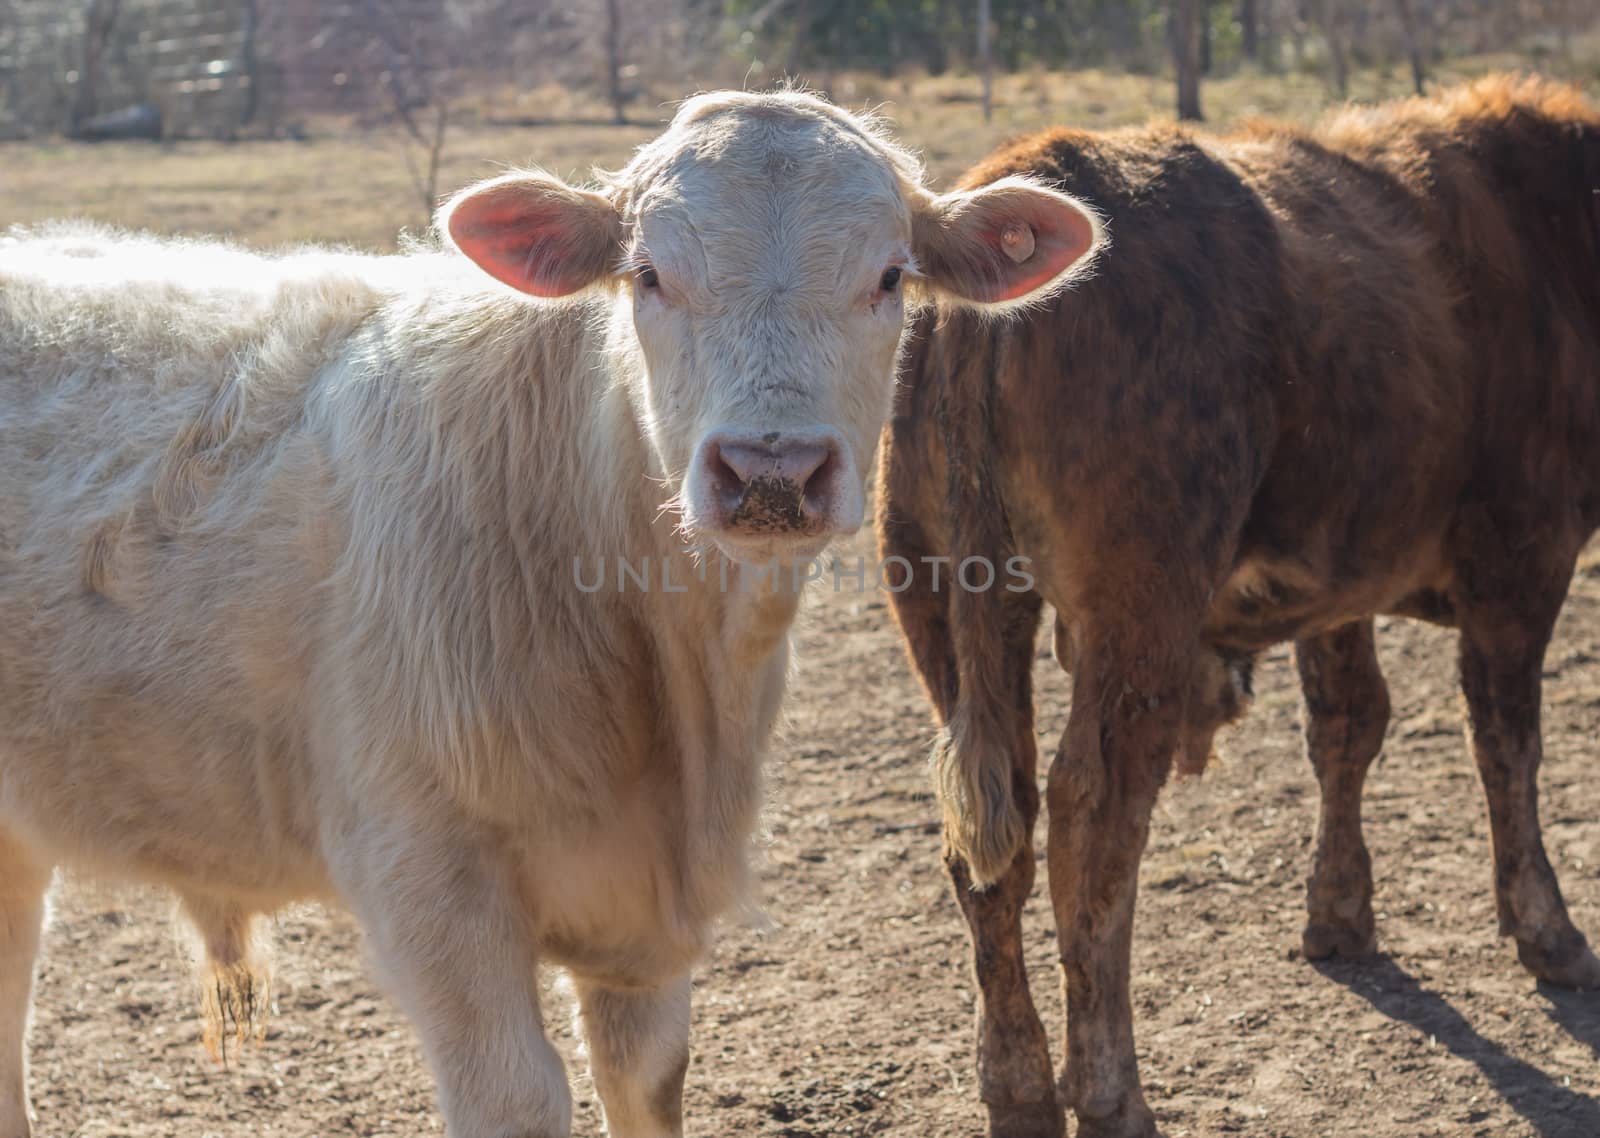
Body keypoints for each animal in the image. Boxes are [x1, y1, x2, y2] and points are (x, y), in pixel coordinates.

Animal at [0, 93, 1100, 1138]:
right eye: (649, 274)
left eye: (889, 277)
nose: (771, 470)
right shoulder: (423, 871)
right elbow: (518, 1096)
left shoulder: (642, 925)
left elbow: (648, 1080)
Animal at [876, 73, 1600, 1138]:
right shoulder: (1522, 560)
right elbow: (1507, 747)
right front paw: (1547, 929)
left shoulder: (1339, 588)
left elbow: (1349, 727)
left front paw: (1338, 914)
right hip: (1139, 614)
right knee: (1095, 821)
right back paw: (1112, 1092)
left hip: (940, 603)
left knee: (996, 831)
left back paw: (1018, 1084)